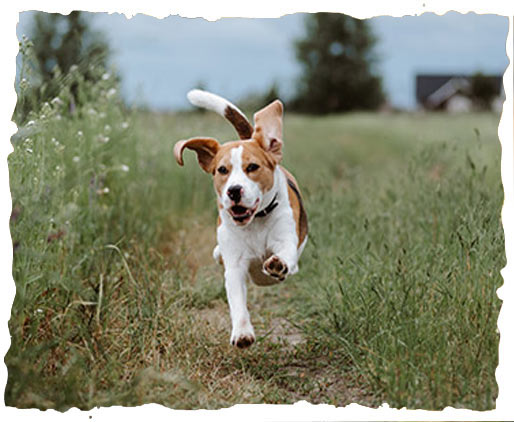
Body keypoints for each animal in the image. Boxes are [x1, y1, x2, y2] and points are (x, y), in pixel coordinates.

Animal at [172, 90, 308, 348]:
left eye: (252, 167)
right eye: (222, 170)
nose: (233, 191)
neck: (255, 222)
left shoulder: (286, 241)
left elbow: (284, 254)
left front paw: (278, 264)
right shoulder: (234, 266)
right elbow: (236, 302)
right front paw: (242, 333)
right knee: (219, 255)